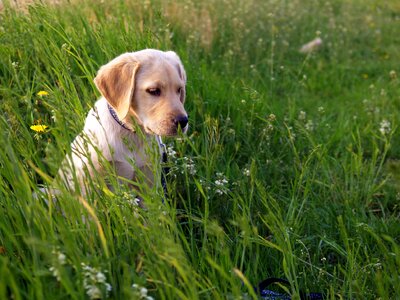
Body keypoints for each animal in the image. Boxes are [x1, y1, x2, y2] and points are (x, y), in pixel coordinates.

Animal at [58, 49, 188, 195]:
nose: (183, 121)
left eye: (179, 90)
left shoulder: (149, 180)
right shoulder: (89, 181)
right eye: (153, 91)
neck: (132, 133)